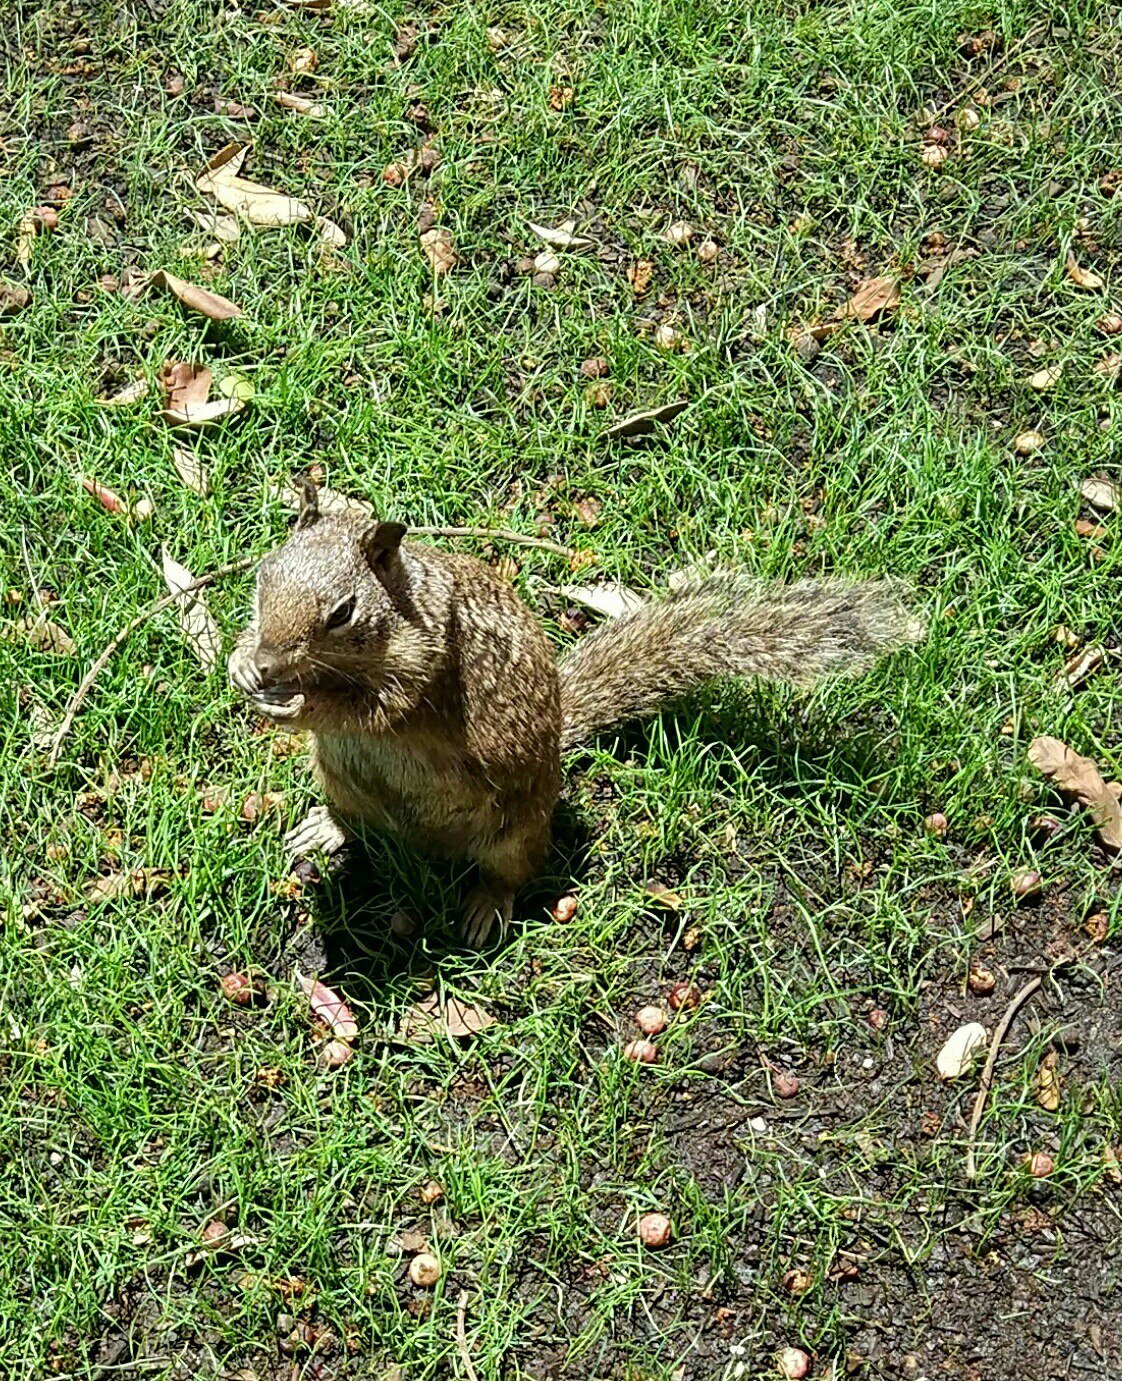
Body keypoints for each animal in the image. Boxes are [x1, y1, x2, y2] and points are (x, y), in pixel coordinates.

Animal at [229, 480, 923, 946]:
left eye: (343, 612)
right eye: (263, 572)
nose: (268, 661)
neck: (399, 607)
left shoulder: (424, 666)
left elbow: (373, 709)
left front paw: (303, 703)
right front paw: (238, 662)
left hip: (514, 834)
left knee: (510, 874)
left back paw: (485, 909)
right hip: (344, 783)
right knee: (357, 823)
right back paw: (323, 828)